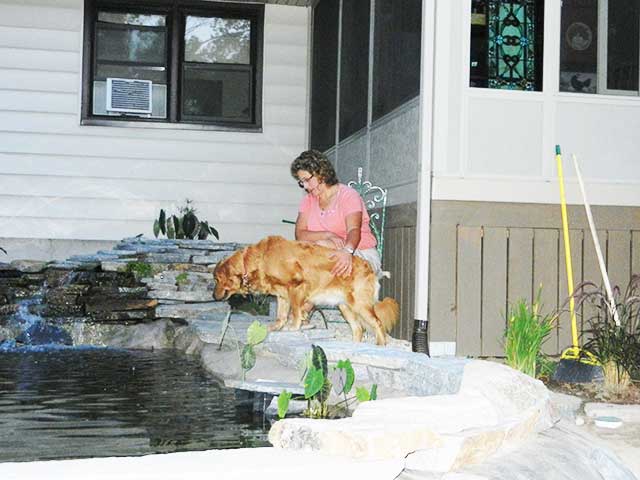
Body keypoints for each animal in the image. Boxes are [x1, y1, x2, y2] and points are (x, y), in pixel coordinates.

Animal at [212, 236, 398, 344]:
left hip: (359, 304)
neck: (259, 260)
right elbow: (281, 314)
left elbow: (295, 311)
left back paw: (380, 346)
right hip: (345, 307)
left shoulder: (297, 286)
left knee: (378, 323)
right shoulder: (282, 294)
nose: (213, 296)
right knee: (358, 328)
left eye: (217, 279)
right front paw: (276, 327)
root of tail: (371, 268)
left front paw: (294, 327)